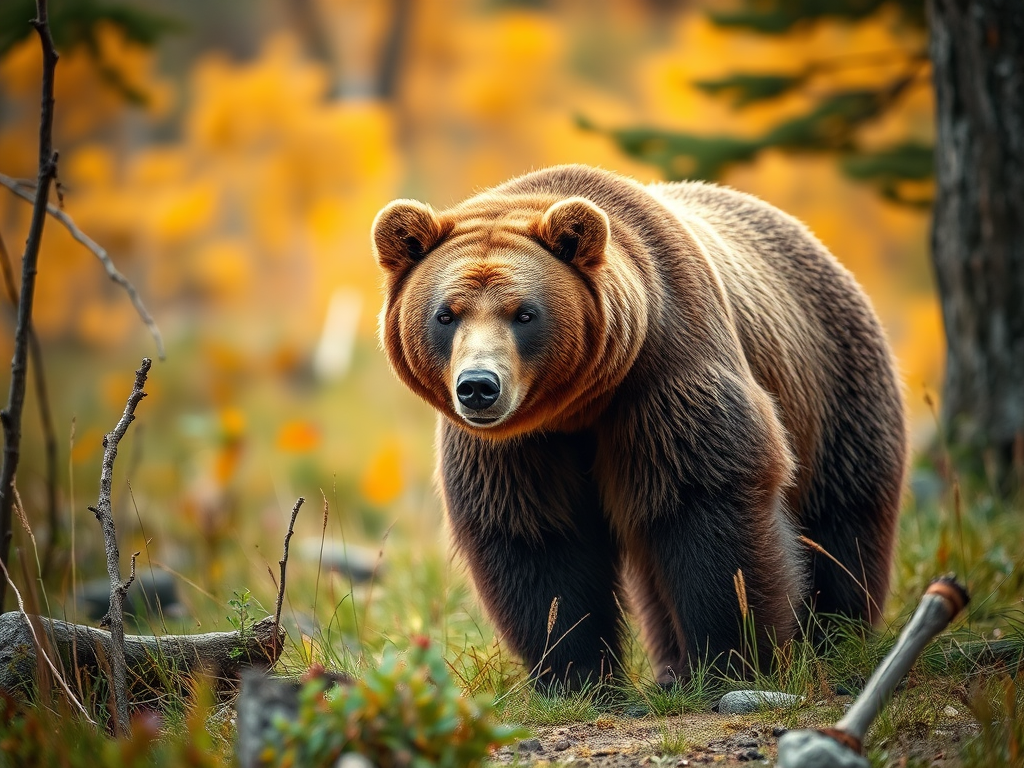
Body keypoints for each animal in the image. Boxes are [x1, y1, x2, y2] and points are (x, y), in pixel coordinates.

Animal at [372, 164, 907, 689]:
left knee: (841, 522)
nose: (479, 386)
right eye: (445, 314)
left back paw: (837, 637)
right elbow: (535, 535)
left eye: (525, 313)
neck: (579, 406)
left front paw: (731, 659)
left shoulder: (666, 377)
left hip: (834, 387)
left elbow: (705, 506)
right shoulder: (518, 445)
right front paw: (576, 674)